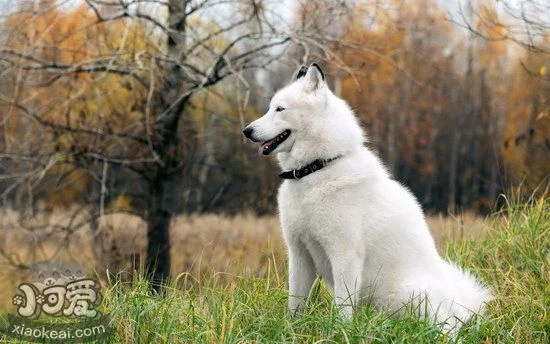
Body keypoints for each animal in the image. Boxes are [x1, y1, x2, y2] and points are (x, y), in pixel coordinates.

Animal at [244, 63, 494, 332]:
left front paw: (340, 332)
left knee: (447, 329)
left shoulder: (345, 254)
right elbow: (295, 303)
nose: (246, 131)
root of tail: (463, 308)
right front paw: (292, 331)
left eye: (280, 109)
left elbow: (343, 306)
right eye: (270, 107)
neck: (317, 169)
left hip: (410, 294)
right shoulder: (300, 253)